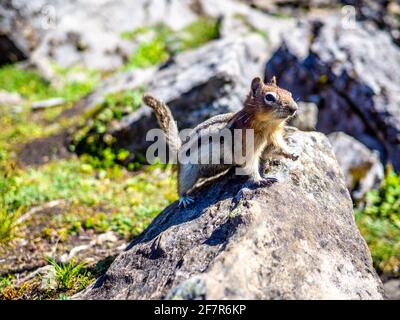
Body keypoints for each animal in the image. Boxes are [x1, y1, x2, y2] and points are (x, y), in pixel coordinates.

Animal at [143, 77, 296, 208]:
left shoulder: (273, 137)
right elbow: (250, 165)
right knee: (181, 185)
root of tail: (179, 150)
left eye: (289, 93)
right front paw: (260, 179)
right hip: (188, 172)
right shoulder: (245, 147)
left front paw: (291, 154)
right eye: (269, 97)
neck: (267, 126)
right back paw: (184, 199)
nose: (294, 108)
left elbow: (278, 146)